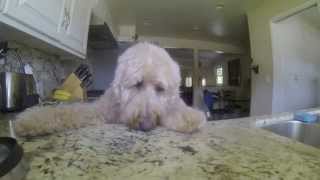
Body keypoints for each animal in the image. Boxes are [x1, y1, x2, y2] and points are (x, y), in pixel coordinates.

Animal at [15, 43, 206, 136]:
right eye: (137, 84)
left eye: (160, 88)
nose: (146, 125)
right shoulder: (99, 110)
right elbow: (65, 112)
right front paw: (31, 120)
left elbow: (175, 107)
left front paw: (189, 116)